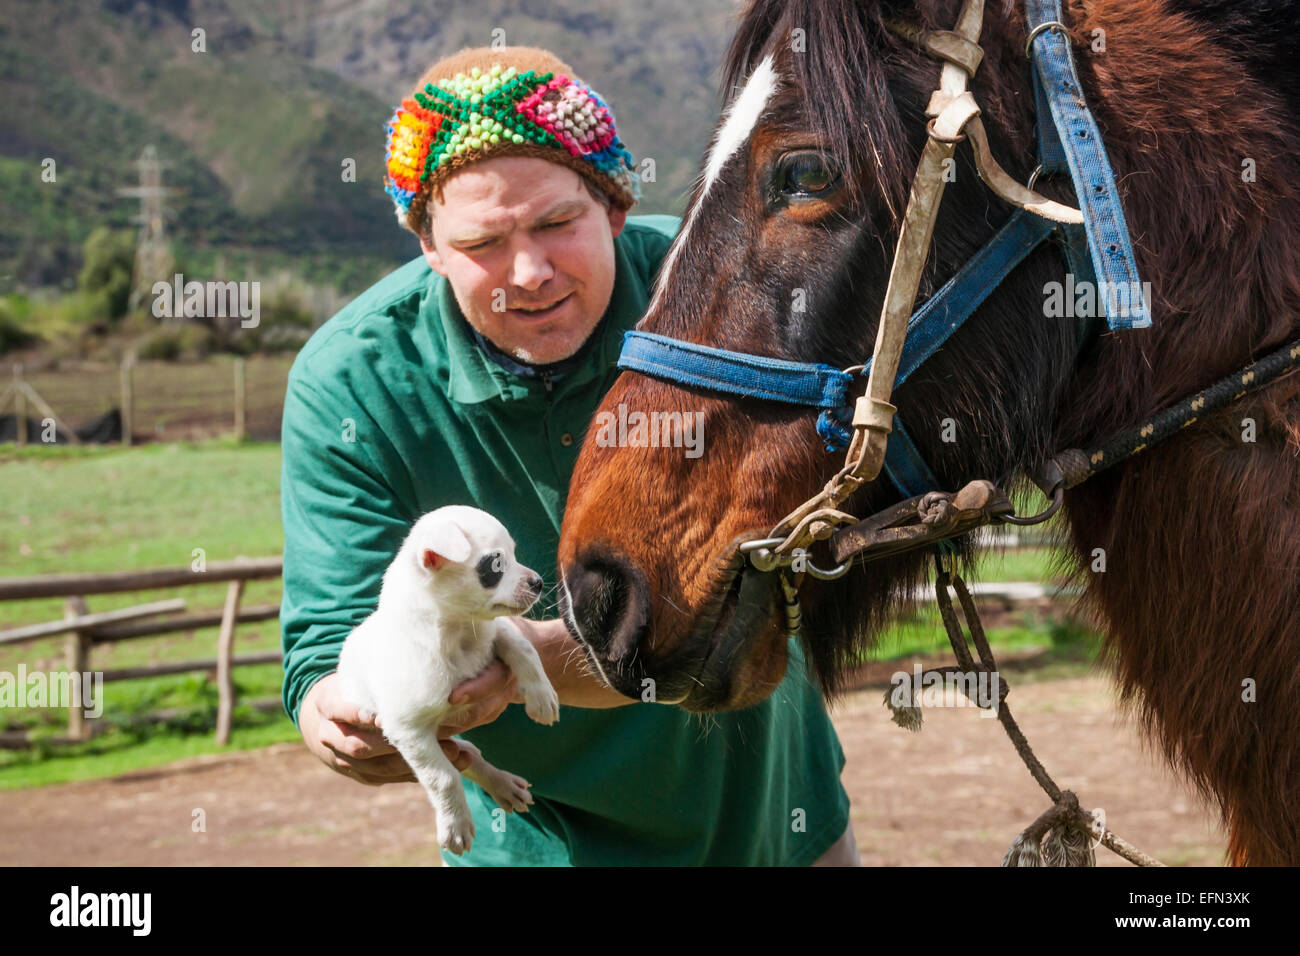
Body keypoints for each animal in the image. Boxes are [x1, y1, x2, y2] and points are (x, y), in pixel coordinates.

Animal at [335, 504, 559, 858]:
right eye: (496, 565)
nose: (537, 582)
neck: (459, 635)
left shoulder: (494, 632)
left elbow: (523, 646)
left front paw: (542, 696)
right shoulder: (409, 730)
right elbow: (444, 778)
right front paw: (455, 826)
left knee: (470, 757)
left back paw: (502, 783)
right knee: (458, 763)